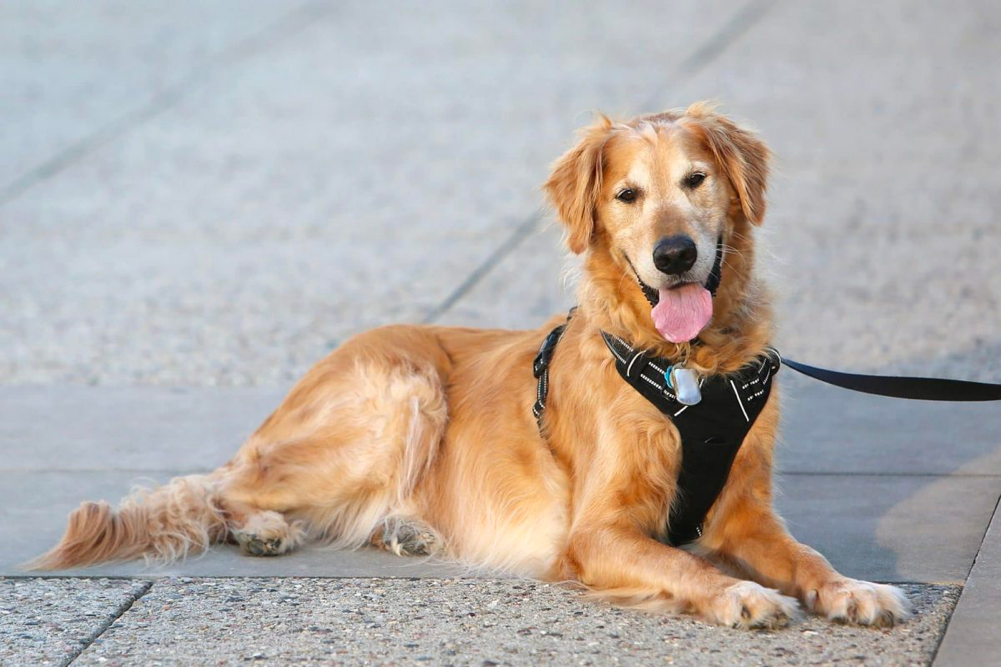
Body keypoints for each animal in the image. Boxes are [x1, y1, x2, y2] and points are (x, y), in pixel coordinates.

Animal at [35, 104, 908, 628]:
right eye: (626, 194)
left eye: (696, 181)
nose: (673, 254)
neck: (682, 367)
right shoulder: (595, 530)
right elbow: (679, 563)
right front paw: (739, 592)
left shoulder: (745, 513)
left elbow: (806, 555)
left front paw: (851, 587)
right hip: (402, 395)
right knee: (223, 486)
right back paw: (265, 527)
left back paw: (402, 526)